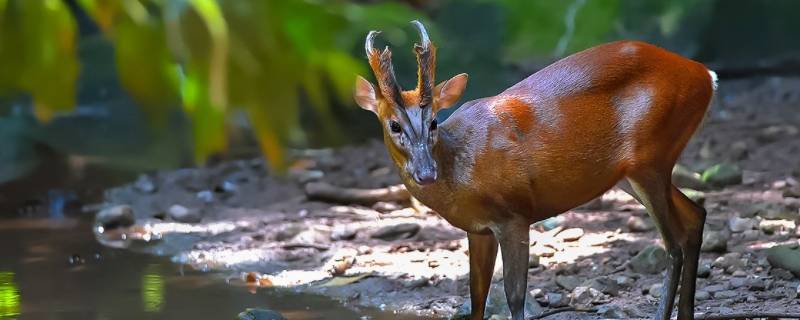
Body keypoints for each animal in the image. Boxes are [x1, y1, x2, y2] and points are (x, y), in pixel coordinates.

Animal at [354, 21, 716, 318]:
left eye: (433, 122)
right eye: (394, 125)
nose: (426, 173)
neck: (459, 168)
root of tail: (705, 75)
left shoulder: (514, 215)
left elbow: (514, 297)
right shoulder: (478, 229)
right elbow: (477, 298)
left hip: (650, 156)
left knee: (673, 244)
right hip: (634, 170)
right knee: (695, 216)